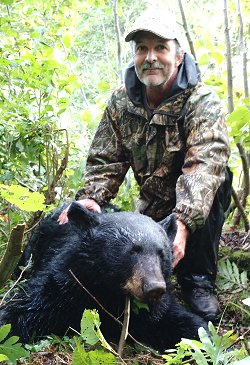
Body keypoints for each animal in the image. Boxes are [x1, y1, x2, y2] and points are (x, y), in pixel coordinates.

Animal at [0, 202, 207, 350]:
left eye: (162, 253)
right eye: (133, 251)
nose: (154, 288)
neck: (110, 292)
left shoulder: (156, 309)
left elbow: (186, 324)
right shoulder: (66, 283)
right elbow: (24, 310)